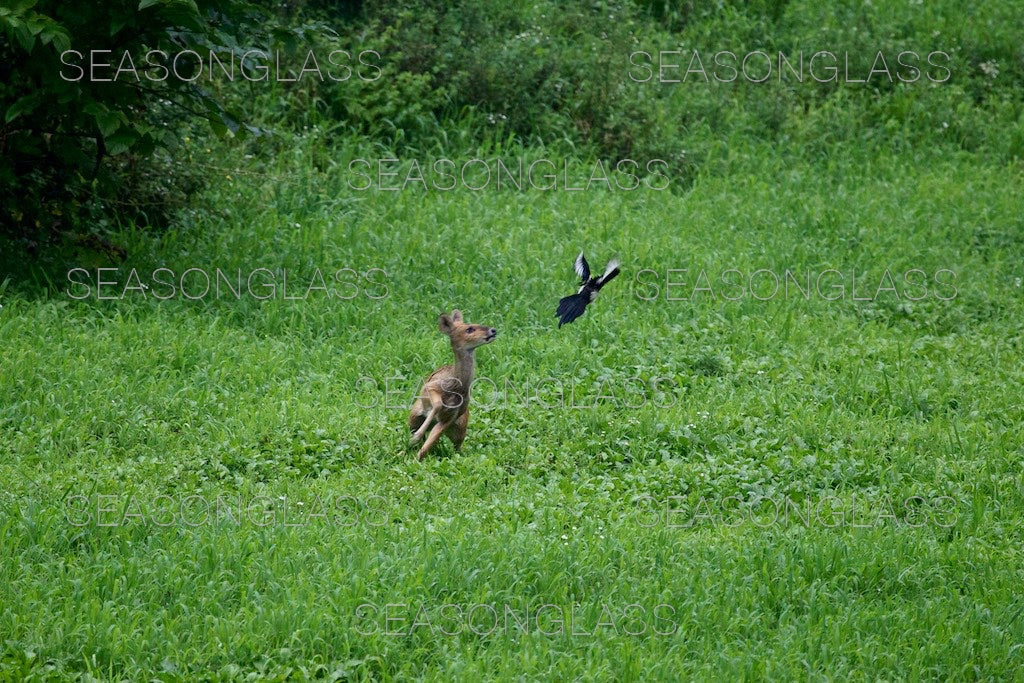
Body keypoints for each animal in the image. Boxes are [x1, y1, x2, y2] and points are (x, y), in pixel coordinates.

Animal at [407, 309, 495, 458]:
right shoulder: (430, 388)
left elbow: (426, 448)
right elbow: (437, 404)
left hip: (460, 428)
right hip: (414, 416)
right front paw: (414, 439)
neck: (456, 387)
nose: (493, 330)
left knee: (456, 447)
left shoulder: (450, 418)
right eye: (469, 329)